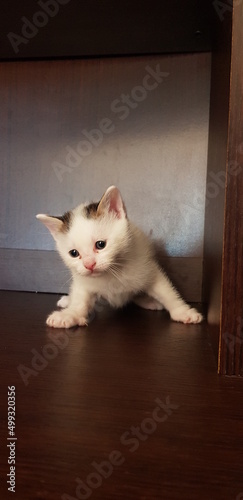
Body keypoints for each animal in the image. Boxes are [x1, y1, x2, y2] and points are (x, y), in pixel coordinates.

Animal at [36, 187, 203, 328]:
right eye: (74, 253)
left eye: (101, 244)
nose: (89, 264)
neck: (112, 272)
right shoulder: (83, 280)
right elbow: (80, 300)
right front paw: (70, 315)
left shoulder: (149, 268)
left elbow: (166, 292)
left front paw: (182, 311)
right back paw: (67, 300)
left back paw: (150, 301)